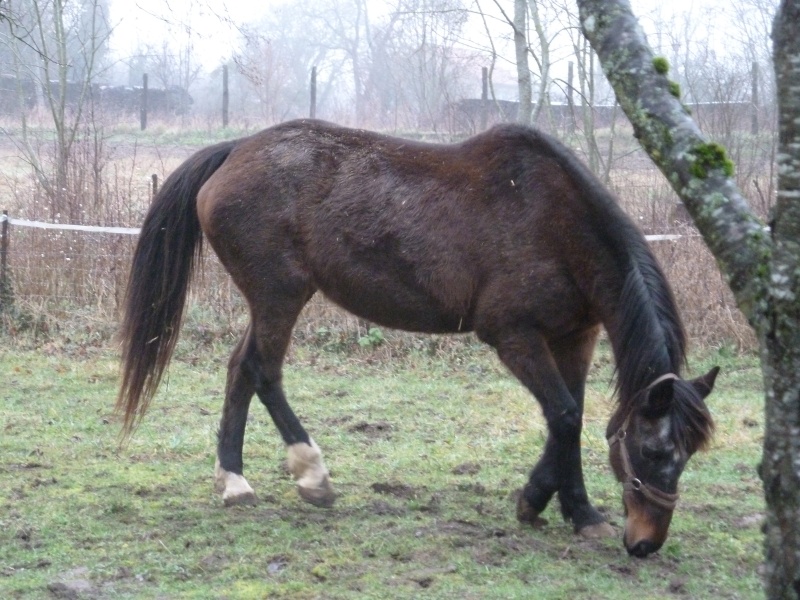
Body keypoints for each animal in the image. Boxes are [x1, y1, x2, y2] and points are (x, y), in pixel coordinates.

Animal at [117, 118, 720, 556]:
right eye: (653, 450)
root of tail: (237, 148)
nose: (646, 543)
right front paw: (556, 505)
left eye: (688, 453)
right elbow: (566, 416)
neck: (558, 223)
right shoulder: (514, 337)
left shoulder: (576, 338)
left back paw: (234, 481)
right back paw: (312, 475)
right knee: (263, 371)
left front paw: (562, 507)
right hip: (279, 296)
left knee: (239, 369)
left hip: (270, 301)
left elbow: (568, 418)